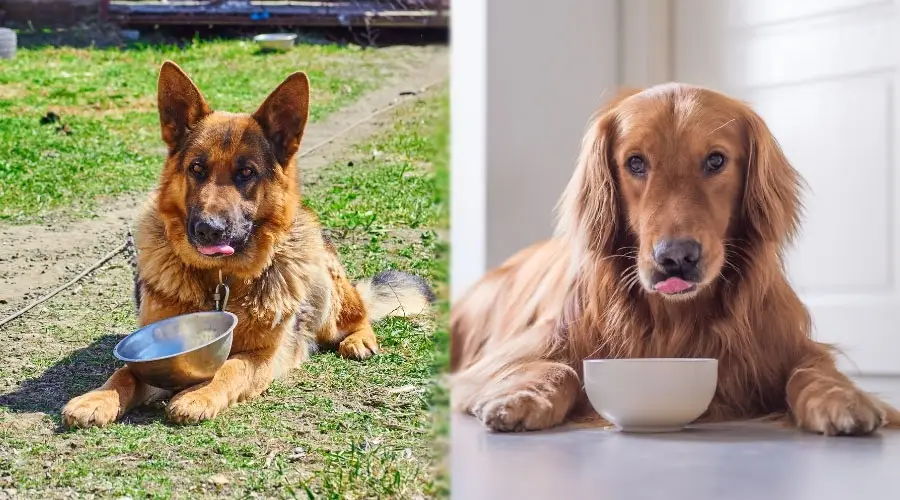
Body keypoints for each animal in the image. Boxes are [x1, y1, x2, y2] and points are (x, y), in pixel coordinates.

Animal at [61, 60, 434, 428]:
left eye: (247, 172)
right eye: (197, 168)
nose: (208, 230)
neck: (220, 280)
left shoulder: (262, 356)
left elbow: (229, 368)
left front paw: (198, 394)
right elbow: (125, 372)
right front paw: (97, 398)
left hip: (326, 289)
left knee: (358, 315)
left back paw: (359, 339)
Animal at [454, 82, 900, 434]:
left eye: (716, 160)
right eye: (635, 162)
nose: (676, 257)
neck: (677, 317)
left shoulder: (788, 345)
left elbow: (812, 369)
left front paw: (843, 397)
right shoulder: (515, 353)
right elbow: (555, 367)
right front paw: (522, 397)